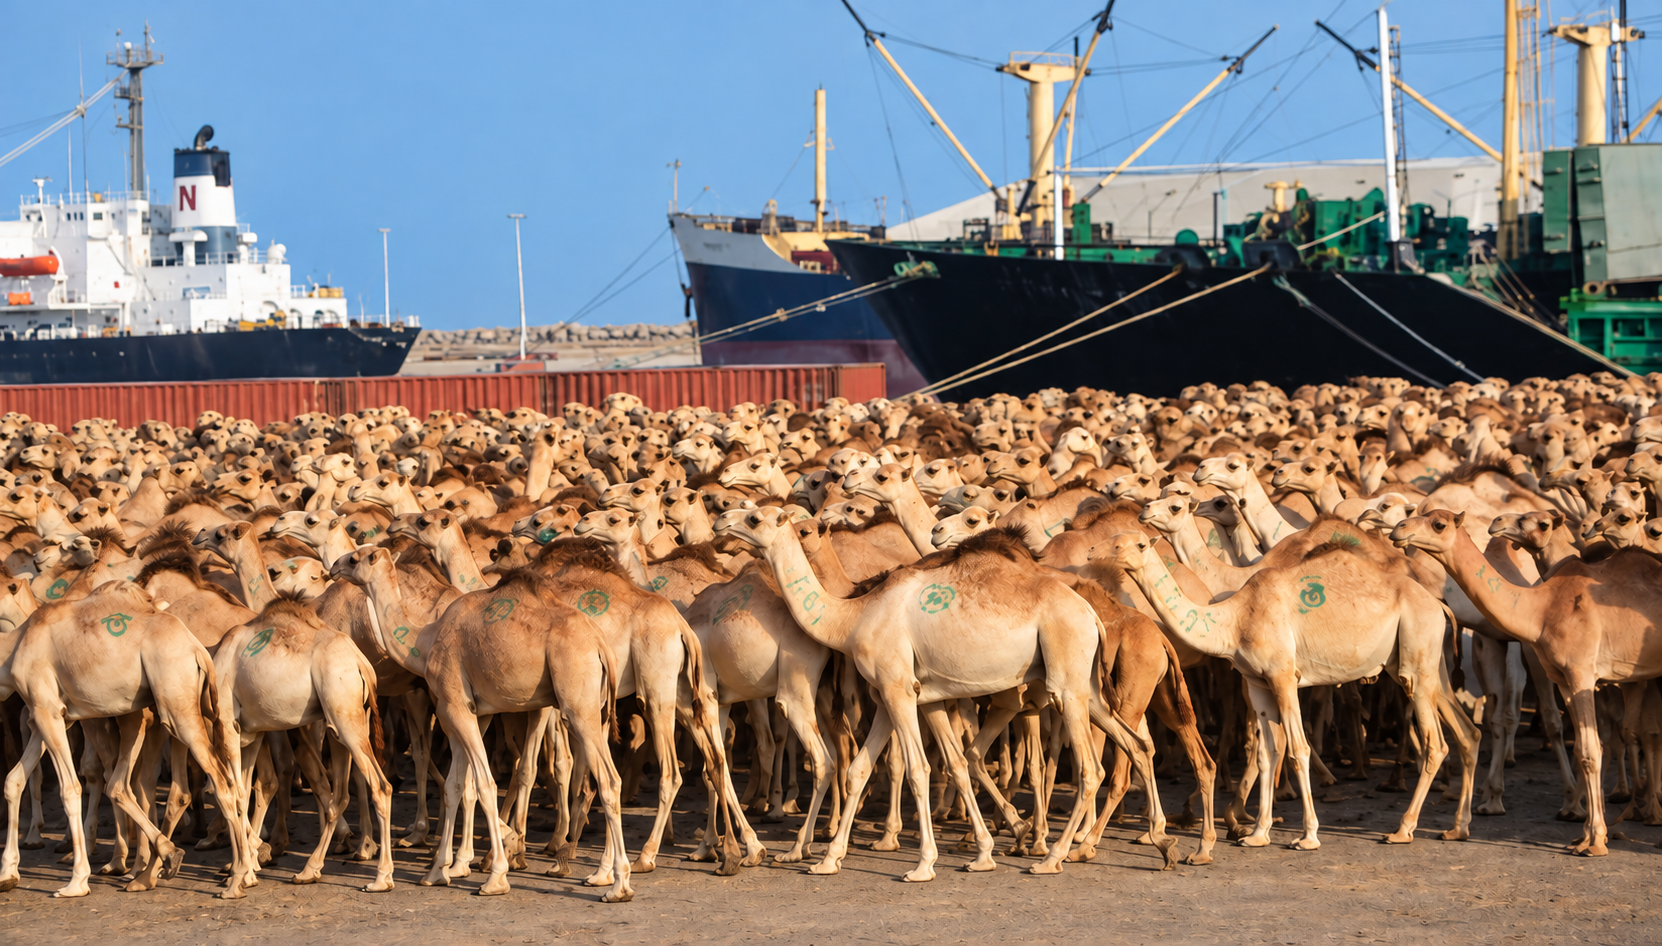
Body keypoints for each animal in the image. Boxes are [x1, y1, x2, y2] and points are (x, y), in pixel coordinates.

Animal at [716, 507, 1175, 880]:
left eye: (755, 517)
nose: (722, 520)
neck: (851, 617)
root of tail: (1093, 616)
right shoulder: (893, 693)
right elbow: (862, 768)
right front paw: (828, 860)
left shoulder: (898, 689)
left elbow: (918, 769)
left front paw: (923, 865)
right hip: (1088, 687)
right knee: (1137, 745)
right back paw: (1160, 842)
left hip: (1066, 680)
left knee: (1091, 768)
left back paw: (1051, 857)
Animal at [1095, 529, 1478, 850]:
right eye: (1112, 539)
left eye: (1137, 544)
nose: (1099, 553)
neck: (1235, 620)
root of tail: (1439, 605)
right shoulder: (1258, 682)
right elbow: (1267, 753)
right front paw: (1257, 834)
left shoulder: (1284, 676)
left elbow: (1298, 750)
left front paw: (1308, 836)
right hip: (1424, 666)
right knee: (1465, 732)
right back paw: (1456, 828)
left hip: (1416, 662)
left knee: (1435, 743)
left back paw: (1402, 829)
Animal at [1391, 509, 1662, 855]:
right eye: (1419, 514)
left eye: (1439, 523)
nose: (1399, 529)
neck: (1541, 609)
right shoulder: (1563, 679)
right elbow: (1583, 748)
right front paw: (1583, 835)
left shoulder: (1582, 674)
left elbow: (1591, 750)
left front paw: (1596, 842)